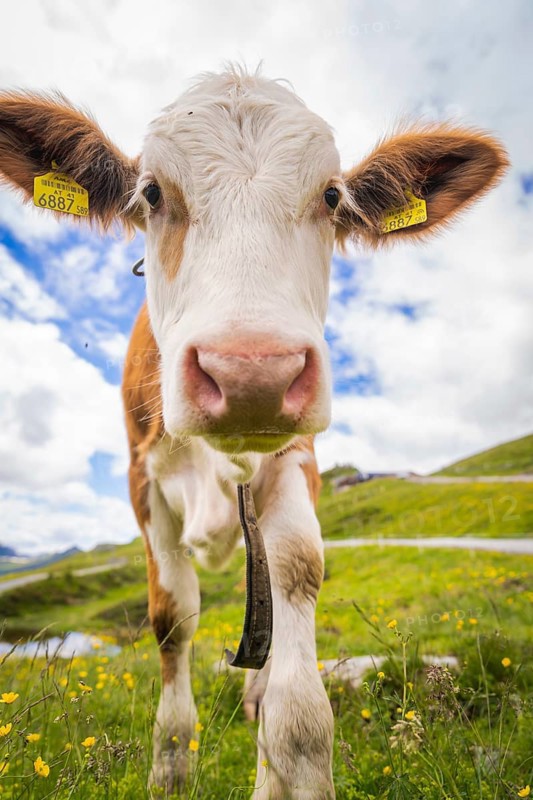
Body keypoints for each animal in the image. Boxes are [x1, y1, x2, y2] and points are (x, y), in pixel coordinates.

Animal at [0, 67, 507, 799]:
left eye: (331, 196)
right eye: (152, 193)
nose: (251, 373)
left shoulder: (297, 461)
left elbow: (296, 580)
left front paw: (285, 755)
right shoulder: (141, 483)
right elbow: (171, 614)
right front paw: (171, 766)